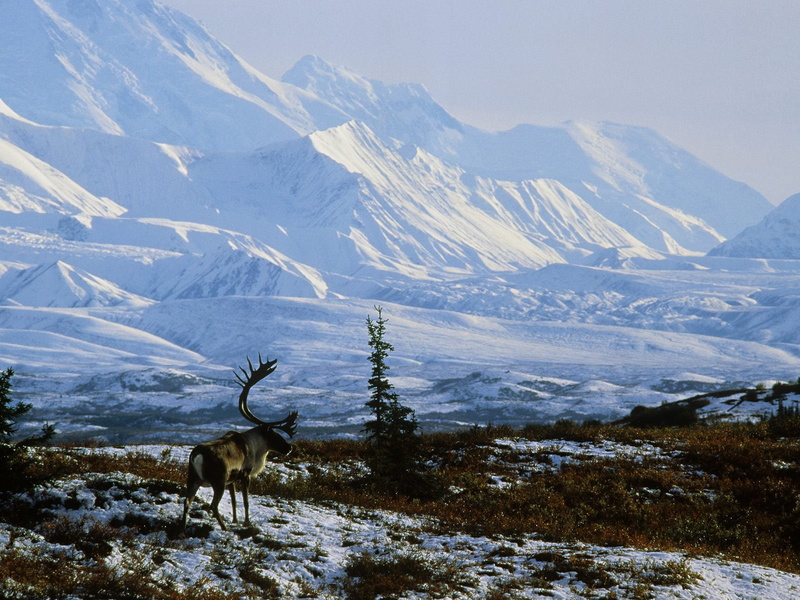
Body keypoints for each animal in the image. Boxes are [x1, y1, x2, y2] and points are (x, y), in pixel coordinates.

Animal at [180, 354, 298, 533]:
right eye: (275, 433)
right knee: (213, 505)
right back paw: (223, 528)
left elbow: (234, 500)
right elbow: (246, 501)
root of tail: (197, 455)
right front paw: (246, 522)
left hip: (192, 478)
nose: (289, 448)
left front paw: (235, 520)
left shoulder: (232, 481)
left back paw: (182, 529)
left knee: (186, 501)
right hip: (218, 481)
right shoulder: (245, 474)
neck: (255, 447)